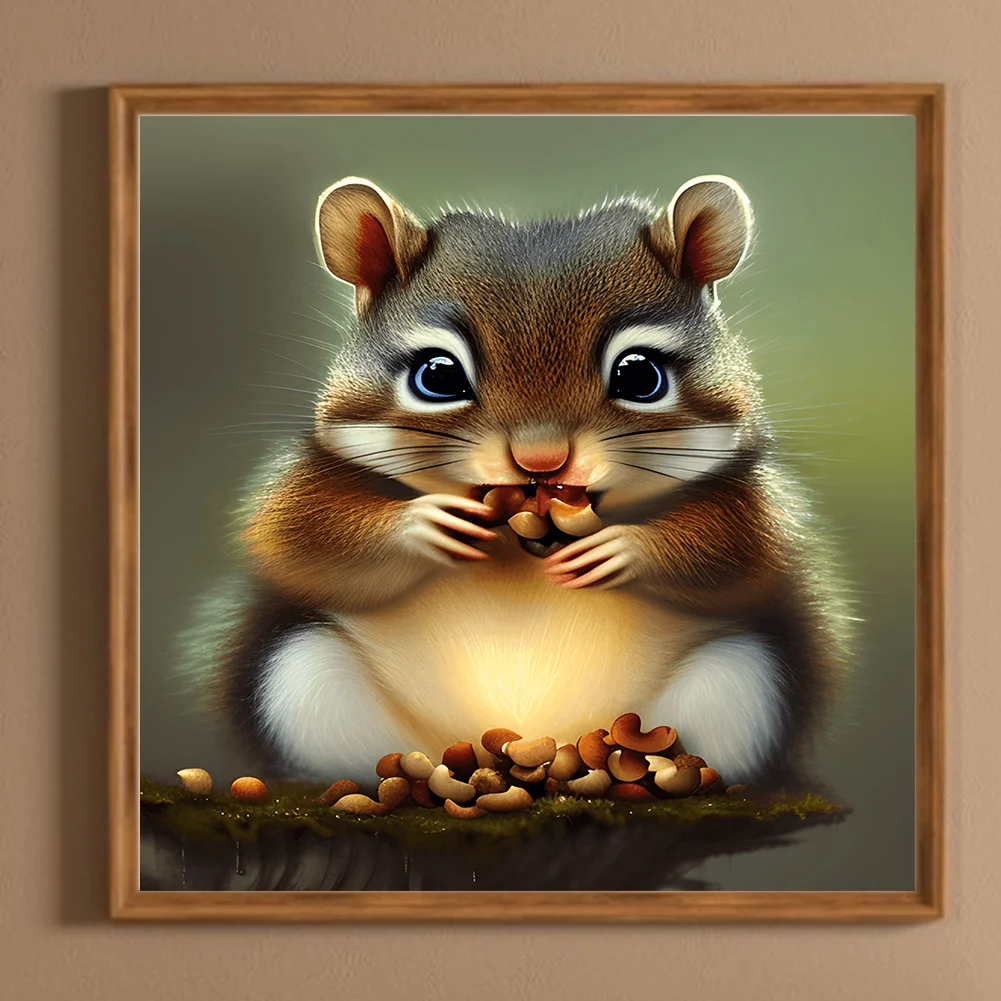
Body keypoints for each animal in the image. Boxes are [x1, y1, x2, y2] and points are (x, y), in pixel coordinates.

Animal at [203, 174, 850, 786]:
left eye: (641, 375)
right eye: (437, 376)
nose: (542, 461)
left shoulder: (752, 500)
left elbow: (742, 554)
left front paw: (619, 548)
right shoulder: (310, 479)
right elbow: (300, 541)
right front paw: (425, 524)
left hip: (741, 684)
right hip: (304, 681)